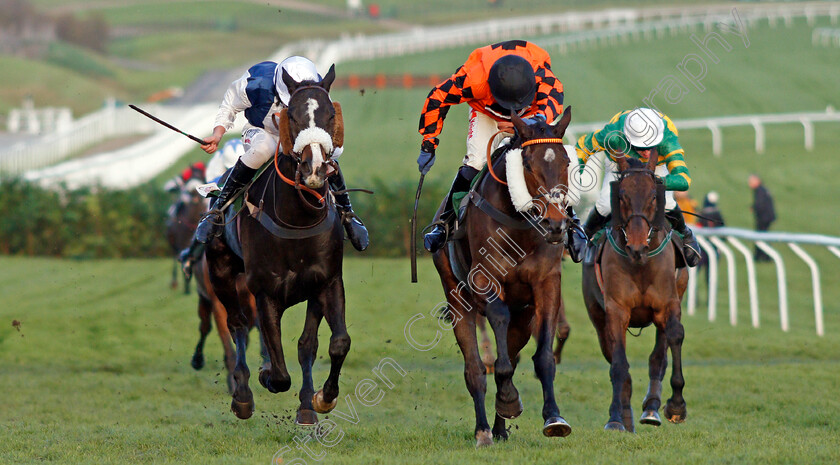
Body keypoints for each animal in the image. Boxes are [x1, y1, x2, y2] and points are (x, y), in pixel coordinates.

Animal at [206, 65, 348, 424]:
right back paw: (243, 395)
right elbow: (280, 373)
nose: (314, 169)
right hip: (222, 274)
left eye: (330, 114)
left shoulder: (326, 282)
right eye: (293, 116)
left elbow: (329, 343)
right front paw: (266, 377)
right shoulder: (265, 292)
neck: (297, 220)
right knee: (238, 325)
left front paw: (319, 400)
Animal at [434, 106, 576, 446]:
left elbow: (543, 356)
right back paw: (484, 430)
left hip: (523, 317)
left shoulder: (547, 283)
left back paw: (499, 426)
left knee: (511, 351)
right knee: (474, 369)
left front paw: (554, 417)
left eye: (566, 162)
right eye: (527, 164)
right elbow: (497, 324)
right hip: (457, 299)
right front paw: (509, 399)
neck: (519, 226)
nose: (555, 224)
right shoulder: (484, 279)